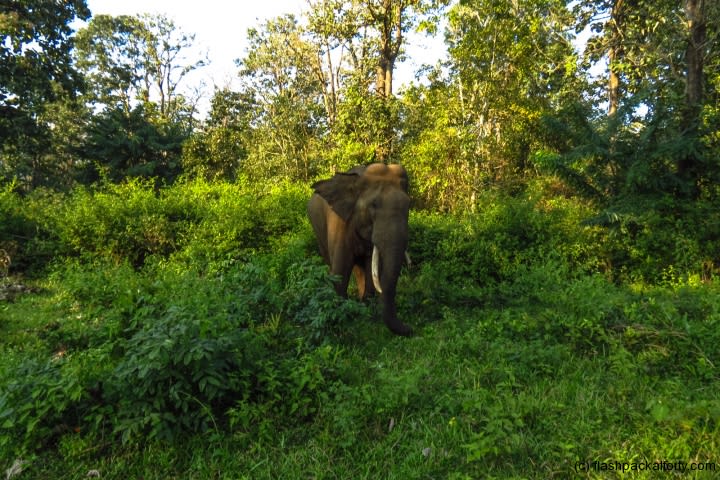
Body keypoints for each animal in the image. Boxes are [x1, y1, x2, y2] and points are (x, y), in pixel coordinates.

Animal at [306, 163, 414, 336]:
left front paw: (364, 309)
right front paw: (344, 317)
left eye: (409, 205)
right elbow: (340, 272)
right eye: (373, 205)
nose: (410, 328)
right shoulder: (340, 223)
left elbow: (370, 267)